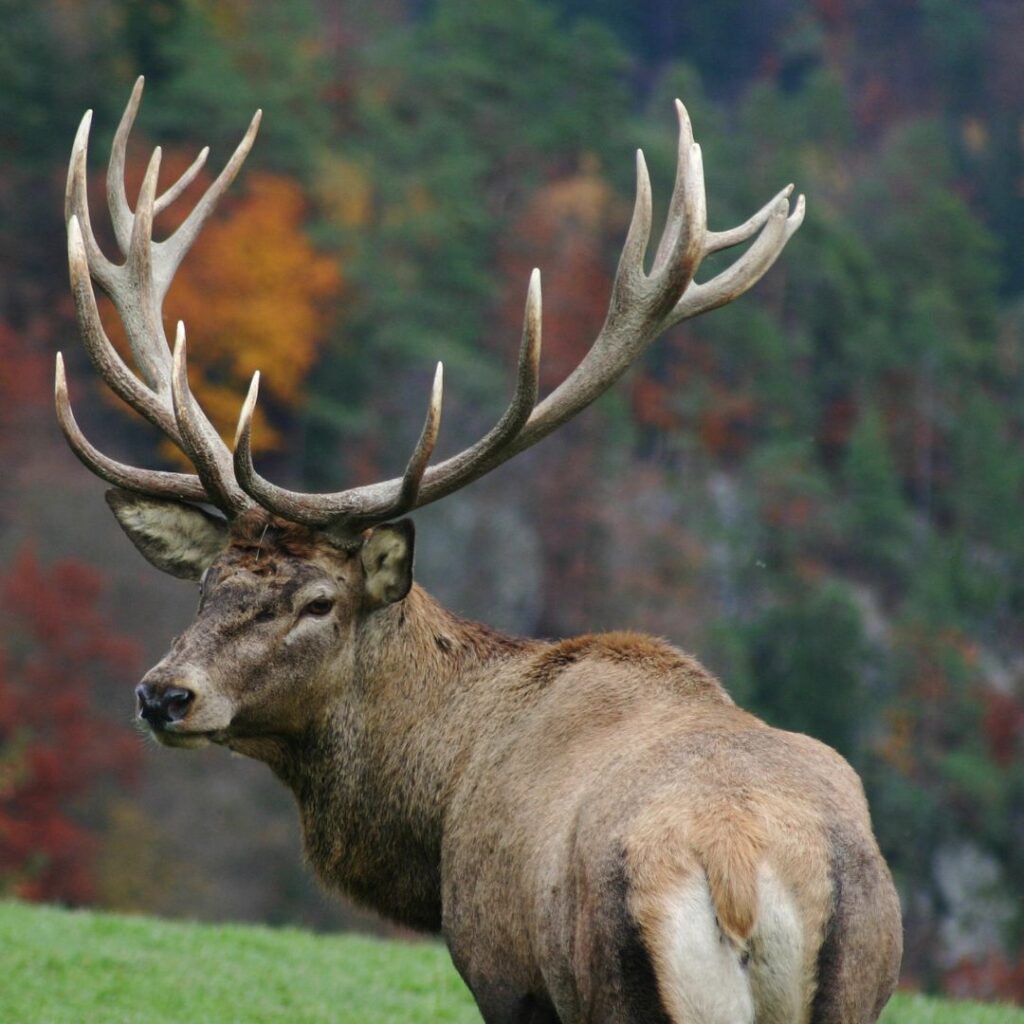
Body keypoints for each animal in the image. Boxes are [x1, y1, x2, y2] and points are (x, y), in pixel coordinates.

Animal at [55, 78, 901, 1024]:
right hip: (857, 980)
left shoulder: (501, 966)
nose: (164, 694)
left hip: (619, 982)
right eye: (207, 584)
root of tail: (741, 875)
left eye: (319, 602)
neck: (435, 821)